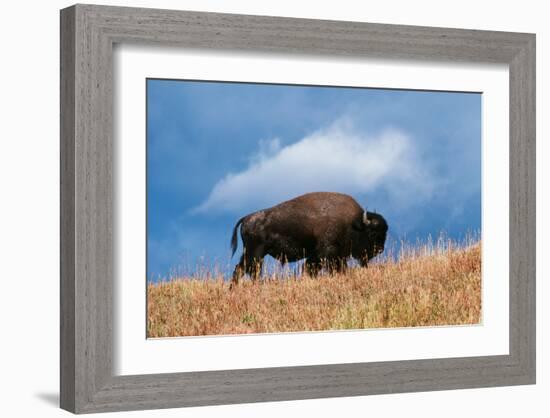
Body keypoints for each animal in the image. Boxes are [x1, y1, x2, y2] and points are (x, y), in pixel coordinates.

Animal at [231, 192, 390, 288]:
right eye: (372, 233)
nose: (380, 250)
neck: (354, 224)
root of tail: (246, 218)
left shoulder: (333, 256)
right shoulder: (325, 254)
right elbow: (313, 268)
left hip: (252, 254)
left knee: (241, 269)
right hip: (255, 253)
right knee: (250, 270)